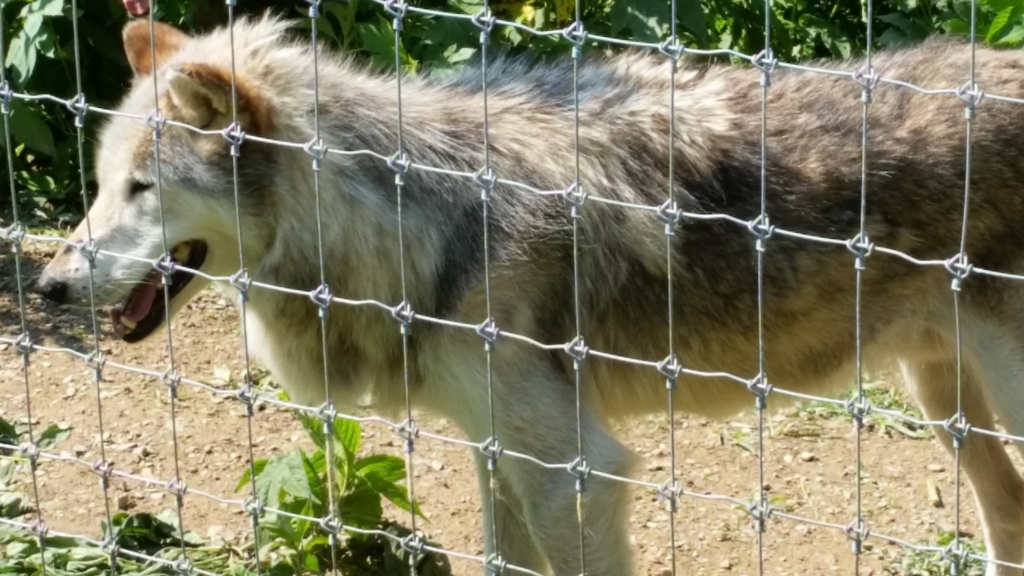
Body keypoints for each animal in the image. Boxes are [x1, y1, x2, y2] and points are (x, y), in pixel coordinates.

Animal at [30, 13, 1024, 576]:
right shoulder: (496, 453)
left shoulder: (575, 474)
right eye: (101, 185)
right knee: (1008, 519)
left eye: (143, 189)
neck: (411, 219)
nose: (46, 286)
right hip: (945, 398)